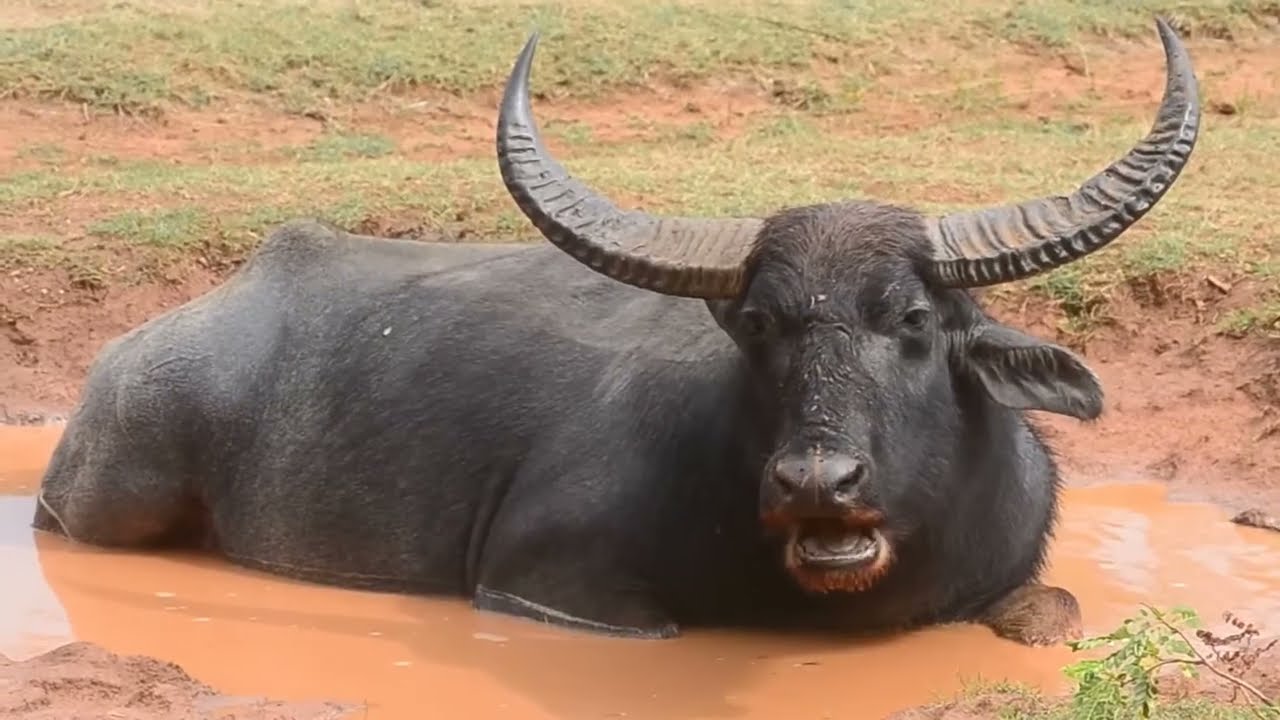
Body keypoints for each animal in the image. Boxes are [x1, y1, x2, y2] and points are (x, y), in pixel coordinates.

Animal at [33, 18, 1199, 646]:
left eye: (911, 319)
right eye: (761, 325)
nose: (815, 483)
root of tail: (123, 356)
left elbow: (1052, 611)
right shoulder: (546, 581)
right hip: (106, 500)